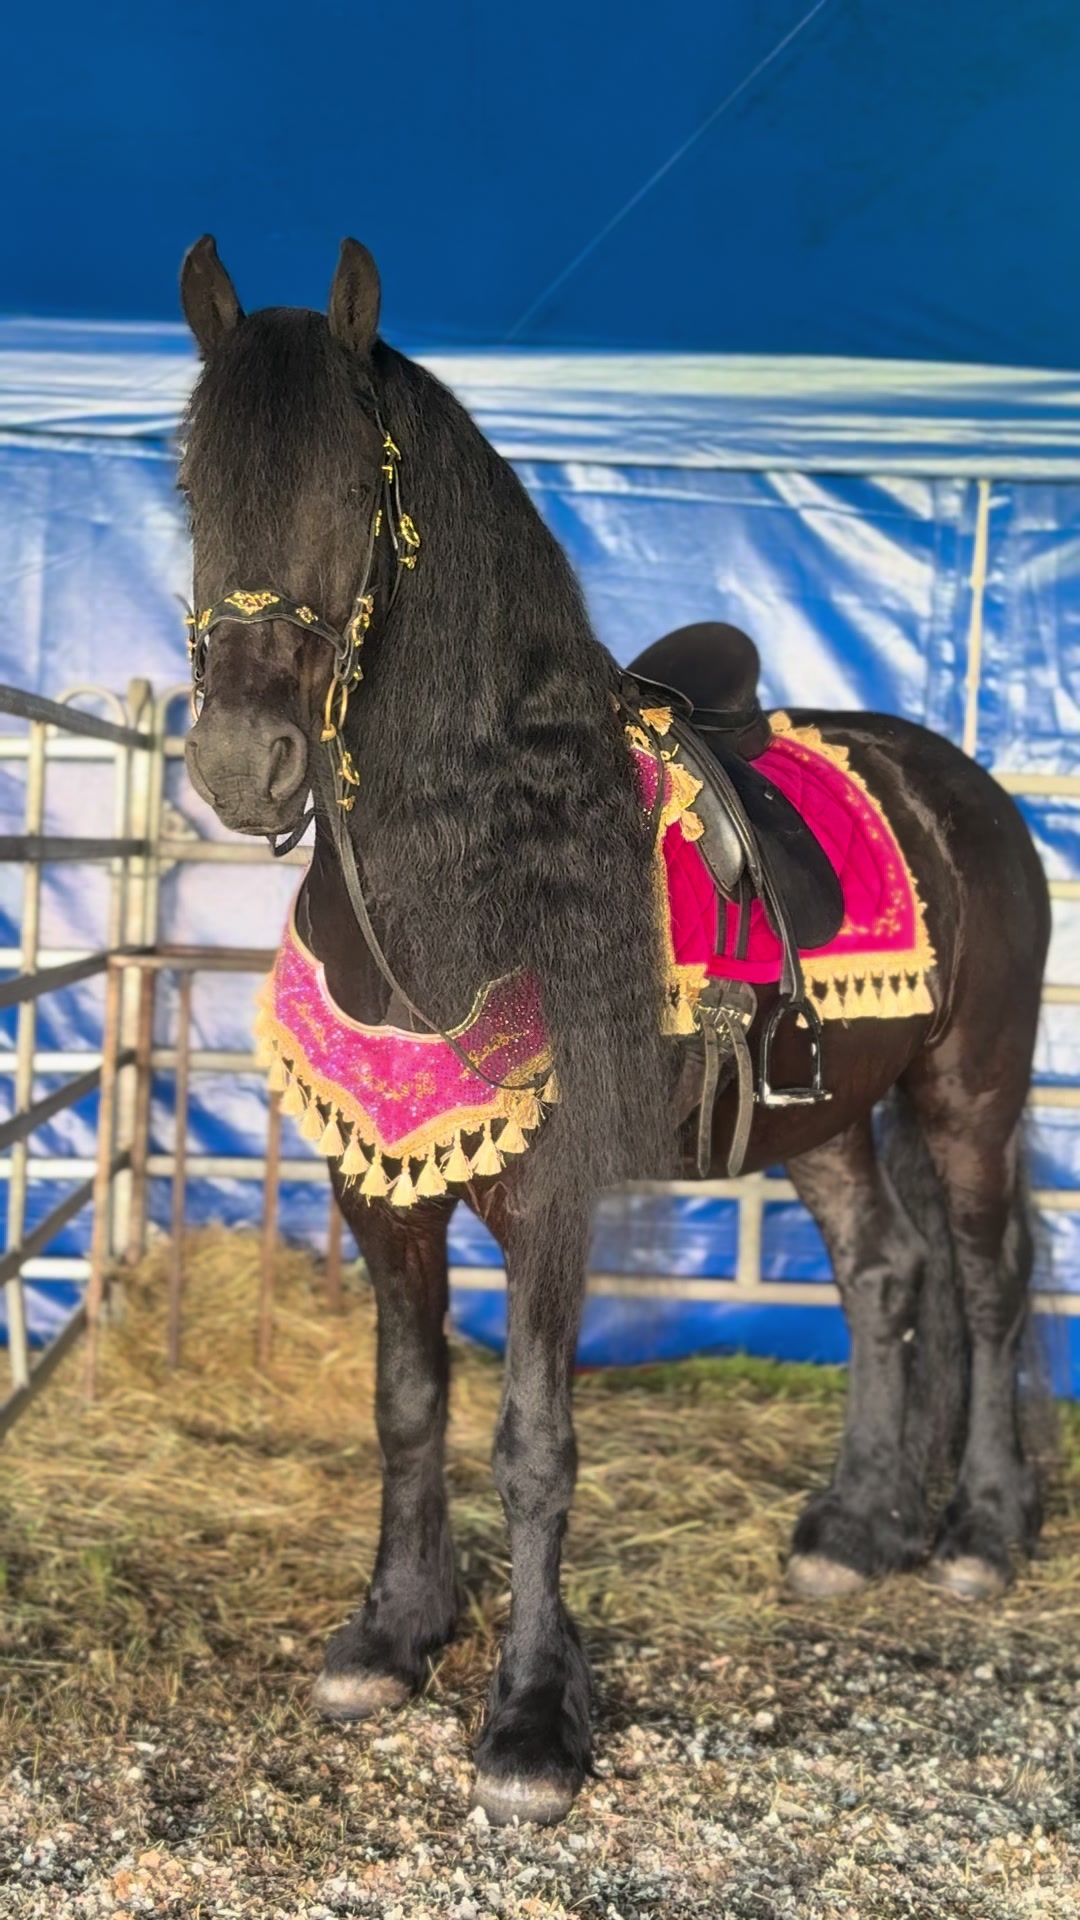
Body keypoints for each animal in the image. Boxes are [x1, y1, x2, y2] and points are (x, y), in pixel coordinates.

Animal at [176, 234, 1050, 1826]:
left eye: (353, 495)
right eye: (197, 492)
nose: (240, 762)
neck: (469, 875)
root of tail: (968, 788)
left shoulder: (547, 1202)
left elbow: (534, 1442)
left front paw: (532, 1718)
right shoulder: (377, 1191)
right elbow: (409, 1404)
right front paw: (394, 1633)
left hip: (972, 1090)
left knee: (985, 1274)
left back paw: (978, 1533)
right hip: (821, 1114)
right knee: (884, 1275)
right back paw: (855, 1529)